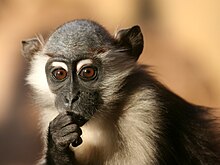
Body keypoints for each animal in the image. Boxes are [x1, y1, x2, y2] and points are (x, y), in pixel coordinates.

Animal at [22, 19, 220, 165]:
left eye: (87, 72)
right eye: (60, 74)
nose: (71, 98)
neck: (100, 119)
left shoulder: (145, 111)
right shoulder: (52, 115)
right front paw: (59, 140)